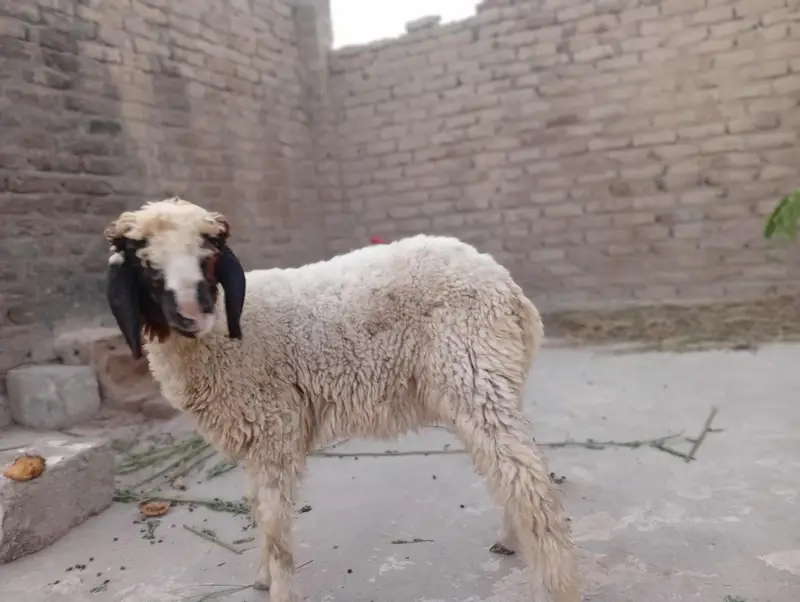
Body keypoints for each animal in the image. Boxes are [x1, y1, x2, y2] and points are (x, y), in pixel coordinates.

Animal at [103, 197, 581, 602]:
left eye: (209, 253)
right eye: (144, 261)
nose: (190, 311)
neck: (225, 333)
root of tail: (508, 287)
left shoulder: (275, 428)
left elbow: (275, 526)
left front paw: (280, 590)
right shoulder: (258, 440)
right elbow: (257, 509)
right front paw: (261, 578)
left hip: (474, 373)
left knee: (527, 481)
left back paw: (556, 584)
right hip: (491, 381)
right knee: (514, 467)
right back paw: (510, 541)